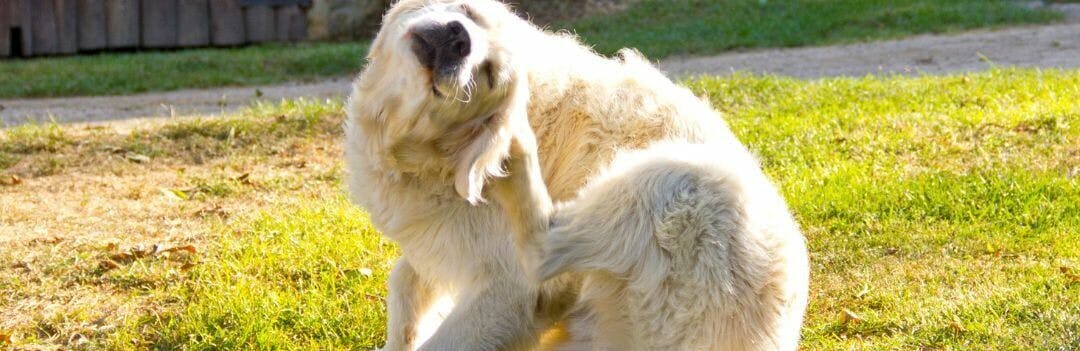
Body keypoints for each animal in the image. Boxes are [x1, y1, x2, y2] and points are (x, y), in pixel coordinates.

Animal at [345, 1, 812, 347]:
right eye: (468, 12)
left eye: (489, 73)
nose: (460, 37)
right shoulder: (435, 238)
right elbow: (404, 280)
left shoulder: (508, 289)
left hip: (688, 177)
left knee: (543, 249)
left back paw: (517, 156)